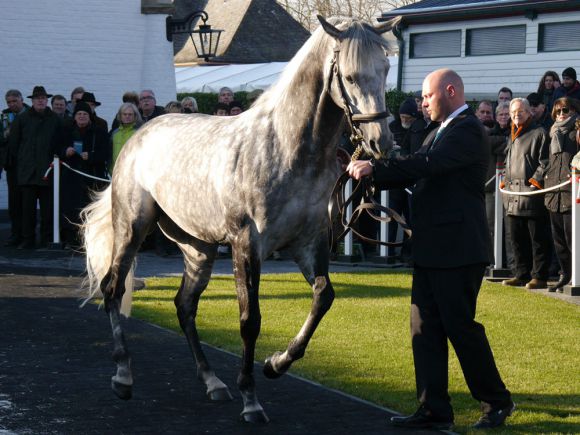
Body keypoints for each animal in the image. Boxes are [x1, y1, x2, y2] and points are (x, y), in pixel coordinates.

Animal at [82, 15, 398, 424]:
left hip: (198, 247)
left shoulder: (307, 243)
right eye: (350, 75)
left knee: (184, 305)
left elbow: (323, 296)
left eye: (385, 69)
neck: (286, 150)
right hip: (132, 228)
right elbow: (250, 320)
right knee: (113, 288)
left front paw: (276, 363)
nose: (381, 143)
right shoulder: (247, 246)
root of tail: (138, 136)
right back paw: (123, 374)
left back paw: (213, 382)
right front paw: (252, 399)